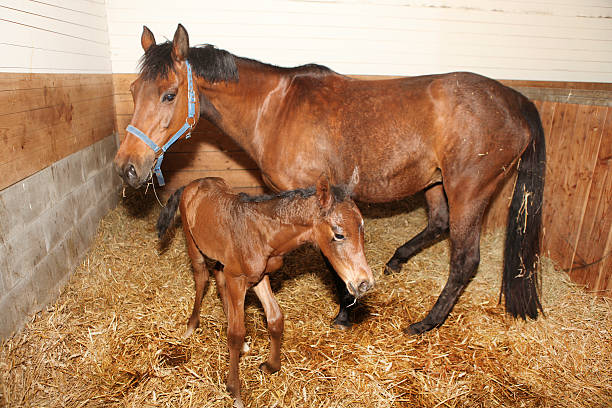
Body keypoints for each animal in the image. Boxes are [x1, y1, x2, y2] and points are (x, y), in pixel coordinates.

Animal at [157, 174, 372, 406]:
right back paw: (191, 325)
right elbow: (236, 333)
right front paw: (234, 391)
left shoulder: (259, 277)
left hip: (220, 260)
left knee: (219, 281)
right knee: (202, 278)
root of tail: (192, 183)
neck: (262, 234)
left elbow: (275, 318)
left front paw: (270, 366)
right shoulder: (237, 279)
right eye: (339, 234)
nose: (364, 283)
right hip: (193, 244)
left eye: (362, 227)